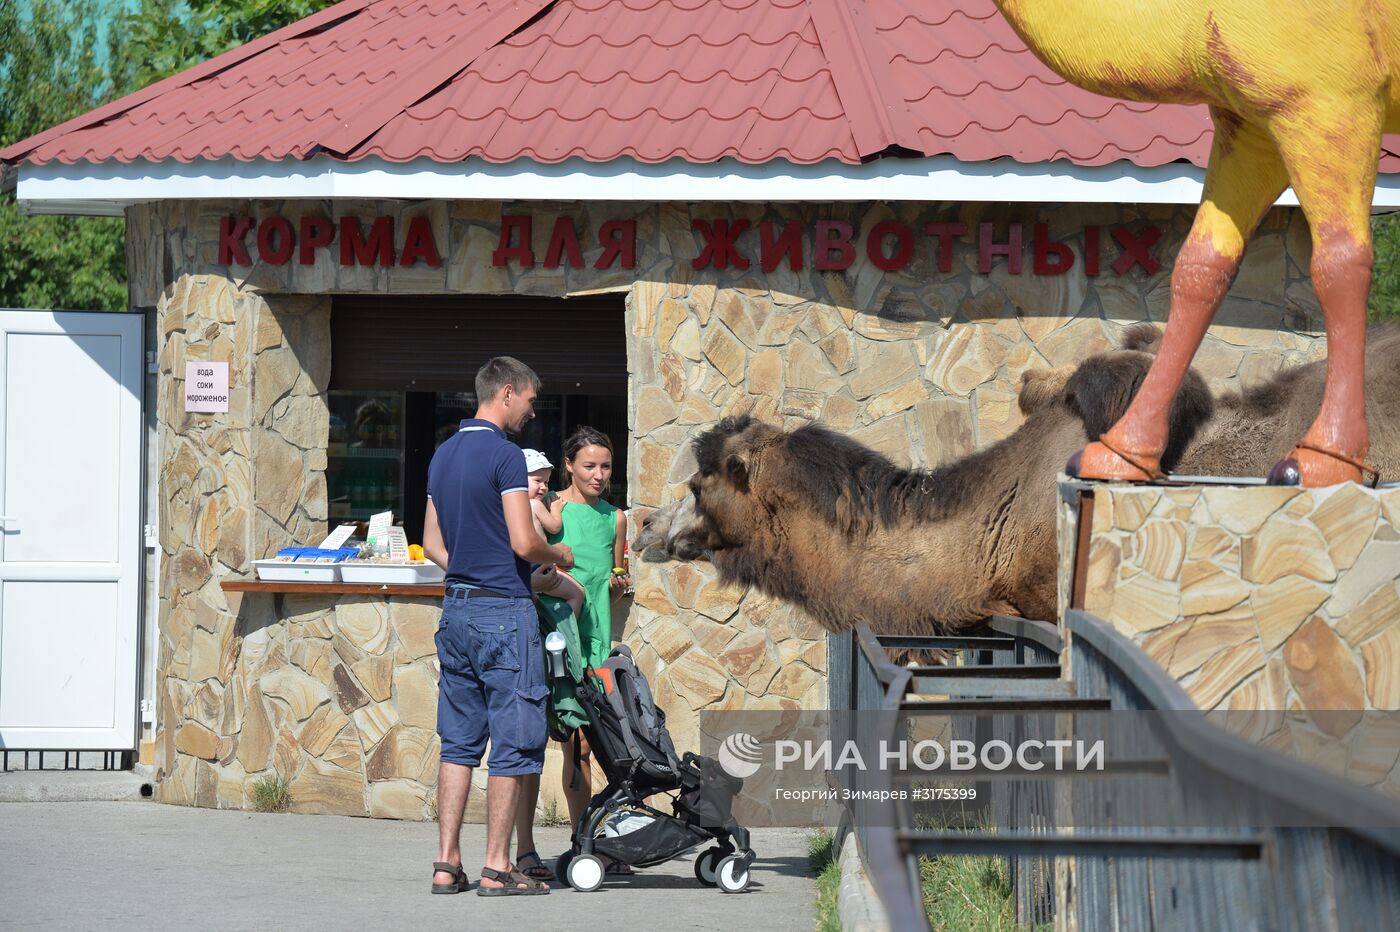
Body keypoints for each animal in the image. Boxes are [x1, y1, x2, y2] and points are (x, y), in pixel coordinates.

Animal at [991, 1, 1394, 486]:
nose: (1026, 383)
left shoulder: (1334, 96)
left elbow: (1340, 259)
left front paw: (1323, 461)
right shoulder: (1249, 126)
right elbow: (1201, 265)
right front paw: (1120, 456)